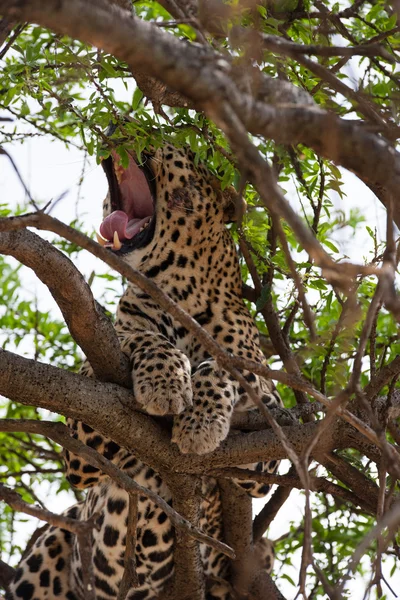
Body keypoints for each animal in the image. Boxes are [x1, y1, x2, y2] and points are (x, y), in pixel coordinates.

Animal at [7, 139, 282, 600]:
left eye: (172, 144)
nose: (120, 127)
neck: (177, 290)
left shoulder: (271, 427)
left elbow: (222, 367)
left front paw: (199, 422)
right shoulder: (81, 448)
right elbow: (142, 339)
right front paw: (165, 384)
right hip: (53, 542)